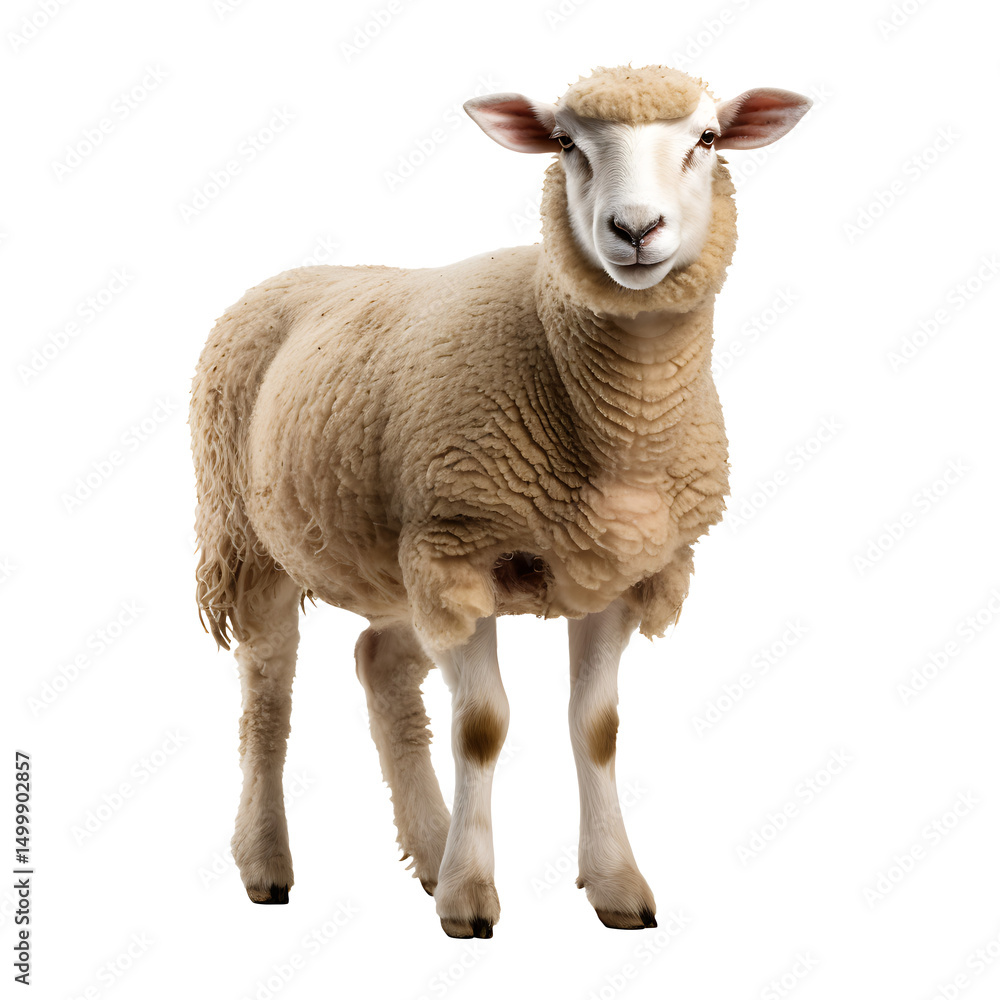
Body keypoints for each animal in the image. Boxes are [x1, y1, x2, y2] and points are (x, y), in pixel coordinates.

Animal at [190, 64, 811, 938]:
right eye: (565, 143)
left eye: (708, 138)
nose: (635, 230)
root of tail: (293, 274)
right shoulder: (458, 552)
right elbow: (482, 728)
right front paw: (471, 897)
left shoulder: (613, 569)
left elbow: (596, 729)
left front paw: (615, 884)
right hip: (252, 538)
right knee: (266, 696)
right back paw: (268, 863)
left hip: (397, 564)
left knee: (381, 668)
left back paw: (428, 848)